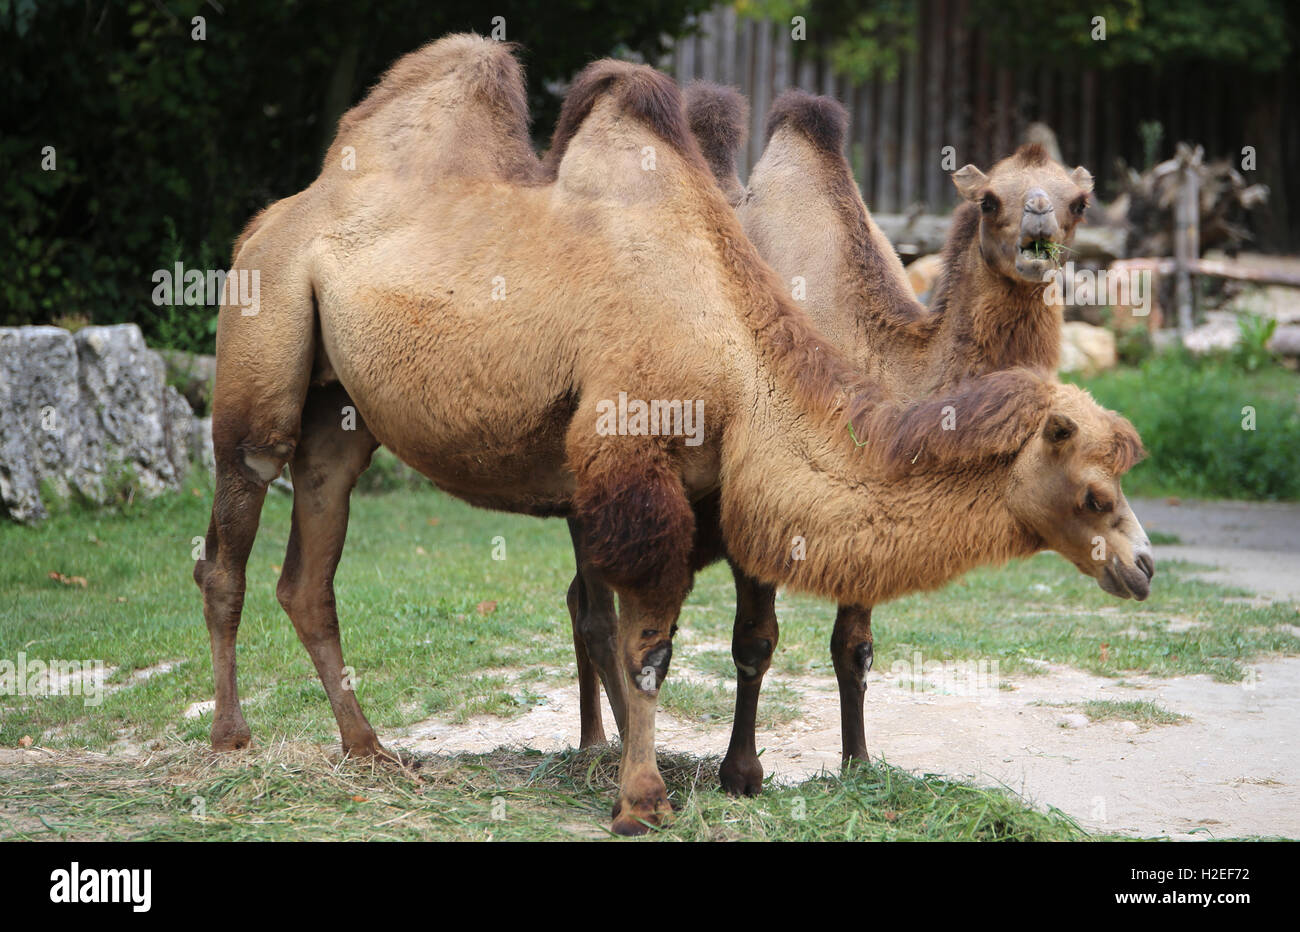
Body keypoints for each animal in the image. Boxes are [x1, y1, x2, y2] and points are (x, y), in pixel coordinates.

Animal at [197, 38, 1154, 837]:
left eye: (1080, 201)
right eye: (1094, 493)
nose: (1144, 565)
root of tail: (280, 211)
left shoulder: (698, 491)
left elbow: (819, 640)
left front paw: (843, 770)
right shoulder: (641, 465)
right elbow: (664, 646)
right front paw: (664, 795)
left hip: (343, 414)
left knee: (311, 569)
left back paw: (373, 752)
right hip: (264, 326)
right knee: (233, 528)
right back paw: (233, 742)